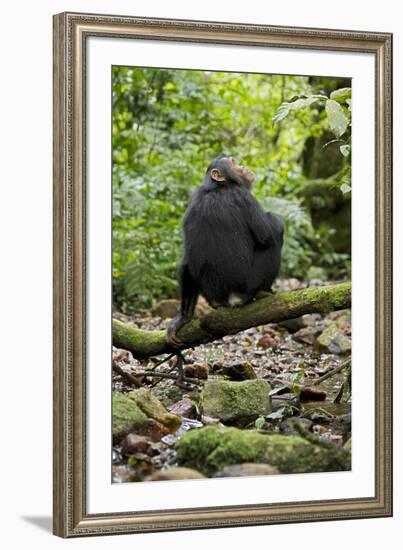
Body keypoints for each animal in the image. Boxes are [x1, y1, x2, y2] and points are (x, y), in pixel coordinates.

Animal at [167, 155, 284, 348]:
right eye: (232, 162)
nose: (242, 166)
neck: (218, 187)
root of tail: (230, 297)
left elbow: (186, 259)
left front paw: (182, 318)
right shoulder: (244, 197)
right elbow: (267, 234)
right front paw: (275, 220)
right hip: (250, 282)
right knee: (273, 240)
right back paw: (263, 292)